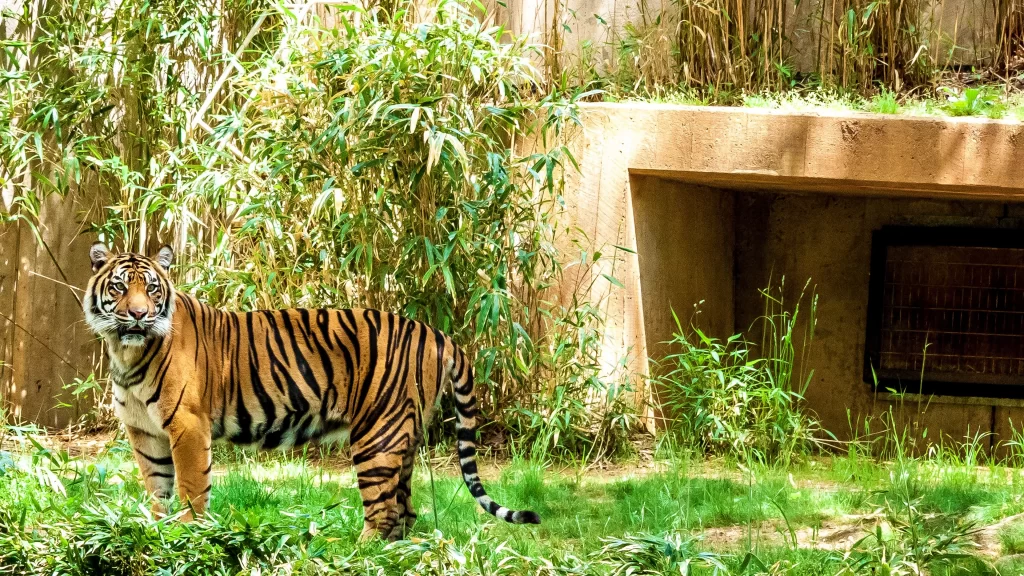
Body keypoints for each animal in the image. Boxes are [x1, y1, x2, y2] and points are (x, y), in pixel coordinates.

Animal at [82, 242, 540, 541]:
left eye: (152, 289)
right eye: (119, 287)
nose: (139, 314)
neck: (126, 351)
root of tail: (436, 333)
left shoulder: (187, 425)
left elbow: (192, 487)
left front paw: (188, 534)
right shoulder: (145, 431)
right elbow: (157, 486)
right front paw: (155, 531)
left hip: (377, 435)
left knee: (382, 511)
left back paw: (350, 553)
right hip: (404, 435)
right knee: (405, 510)